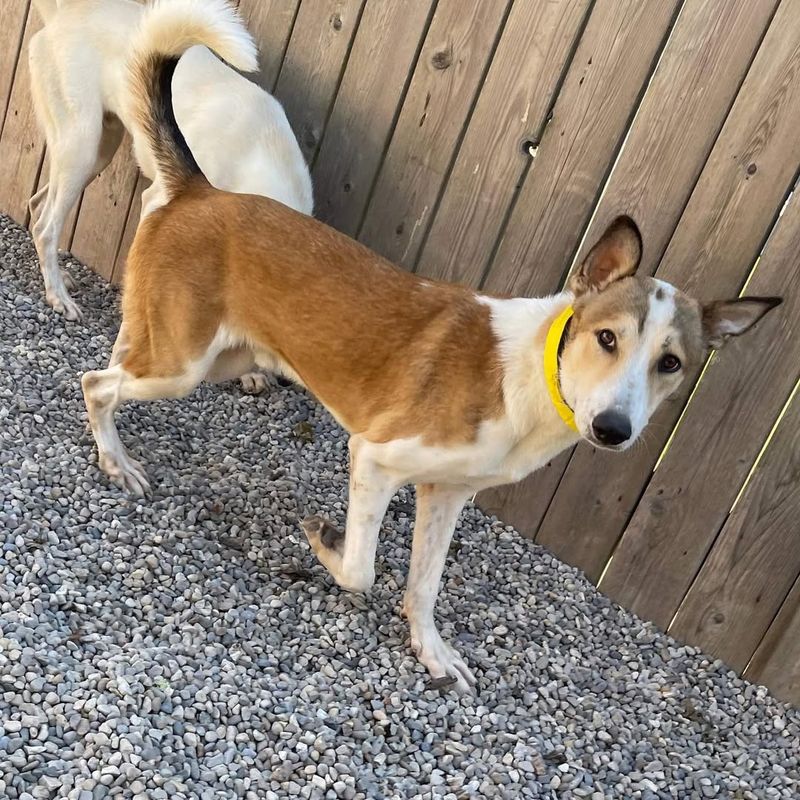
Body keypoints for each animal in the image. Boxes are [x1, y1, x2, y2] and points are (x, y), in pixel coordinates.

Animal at [25, 3, 312, 324]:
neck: (258, 154)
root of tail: (70, 11)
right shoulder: (159, 199)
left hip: (98, 151)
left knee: (38, 204)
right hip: (81, 146)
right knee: (46, 227)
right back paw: (58, 296)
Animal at [81, 50, 780, 692]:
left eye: (671, 363)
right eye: (607, 338)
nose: (613, 429)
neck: (528, 378)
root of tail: (204, 191)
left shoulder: (445, 494)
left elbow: (425, 585)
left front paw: (431, 650)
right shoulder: (374, 458)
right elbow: (361, 569)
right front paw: (324, 542)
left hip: (214, 354)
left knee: (114, 365)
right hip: (182, 365)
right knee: (94, 384)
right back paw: (117, 462)